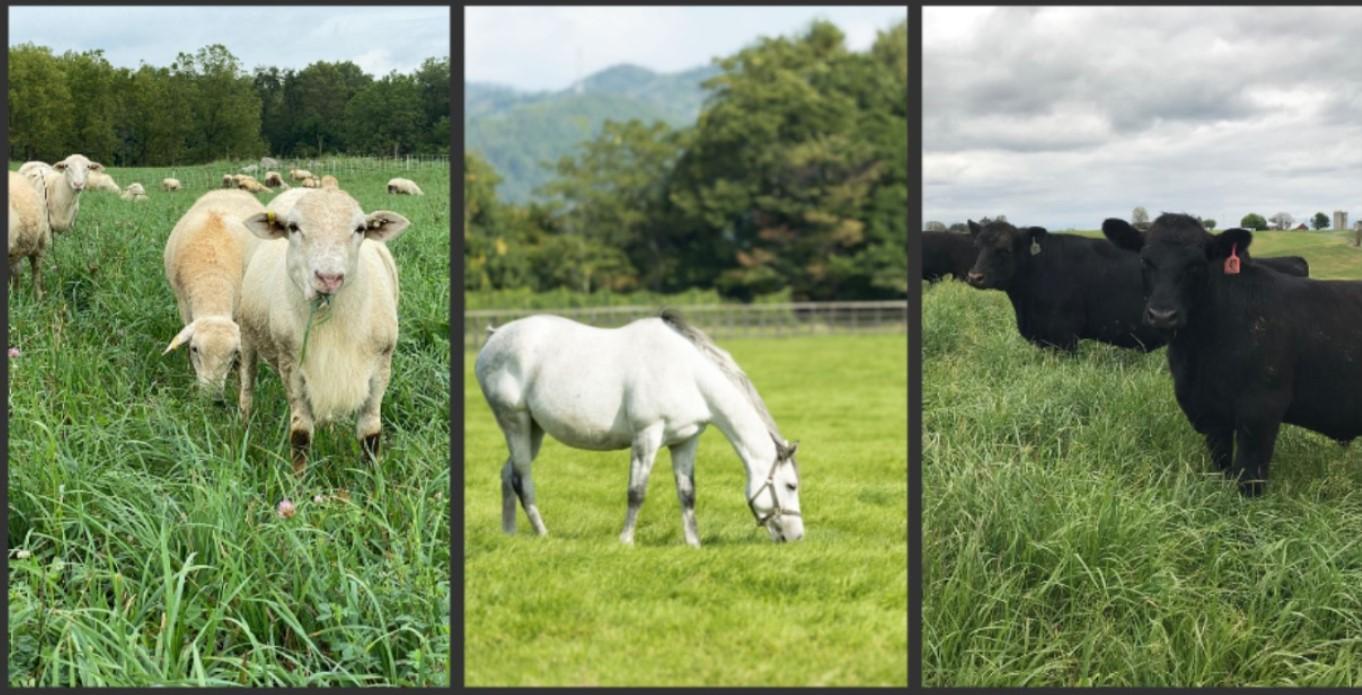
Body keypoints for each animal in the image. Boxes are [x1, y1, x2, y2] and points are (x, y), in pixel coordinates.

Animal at [238, 186, 408, 474]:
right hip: (246, 332)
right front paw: (298, 480)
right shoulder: (291, 366)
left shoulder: (381, 365)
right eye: (293, 227)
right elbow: (301, 435)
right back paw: (242, 424)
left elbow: (370, 433)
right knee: (247, 380)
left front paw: (375, 480)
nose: (329, 278)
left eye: (361, 228)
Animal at [476, 312, 800, 545]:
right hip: (515, 422)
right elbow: (636, 492)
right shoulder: (647, 435)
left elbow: (687, 494)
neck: (687, 373)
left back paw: (509, 533)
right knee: (522, 479)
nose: (797, 536)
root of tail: (495, 336)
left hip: (534, 430)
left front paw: (693, 544)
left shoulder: (685, 441)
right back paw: (543, 535)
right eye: (791, 485)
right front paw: (626, 540)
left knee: (507, 473)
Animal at [1105, 213, 1362, 496]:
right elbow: (1222, 464)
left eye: (1197, 264)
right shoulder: (1213, 414)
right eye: (1144, 260)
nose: (1162, 315)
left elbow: (1248, 475)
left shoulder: (1262, 410)